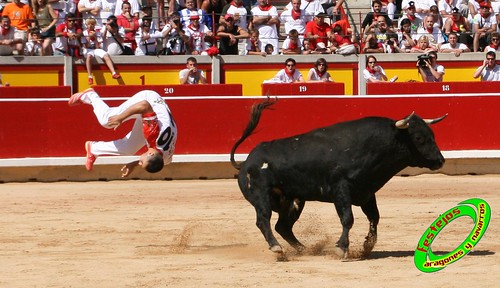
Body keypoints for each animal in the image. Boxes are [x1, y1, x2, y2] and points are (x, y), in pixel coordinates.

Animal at [229, 98, 446, 258]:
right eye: (419, 138)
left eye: (432, 134)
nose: (440, 160)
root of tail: (246, 162)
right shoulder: (341, 191)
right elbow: (347, 218)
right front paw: (342, 248)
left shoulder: (366, 192)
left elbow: (374, 217)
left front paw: (367, 246)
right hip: (261, 196)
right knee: (263, 220)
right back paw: (277, 248)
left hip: (293, 201)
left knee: (283, 226)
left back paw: (304, 249)